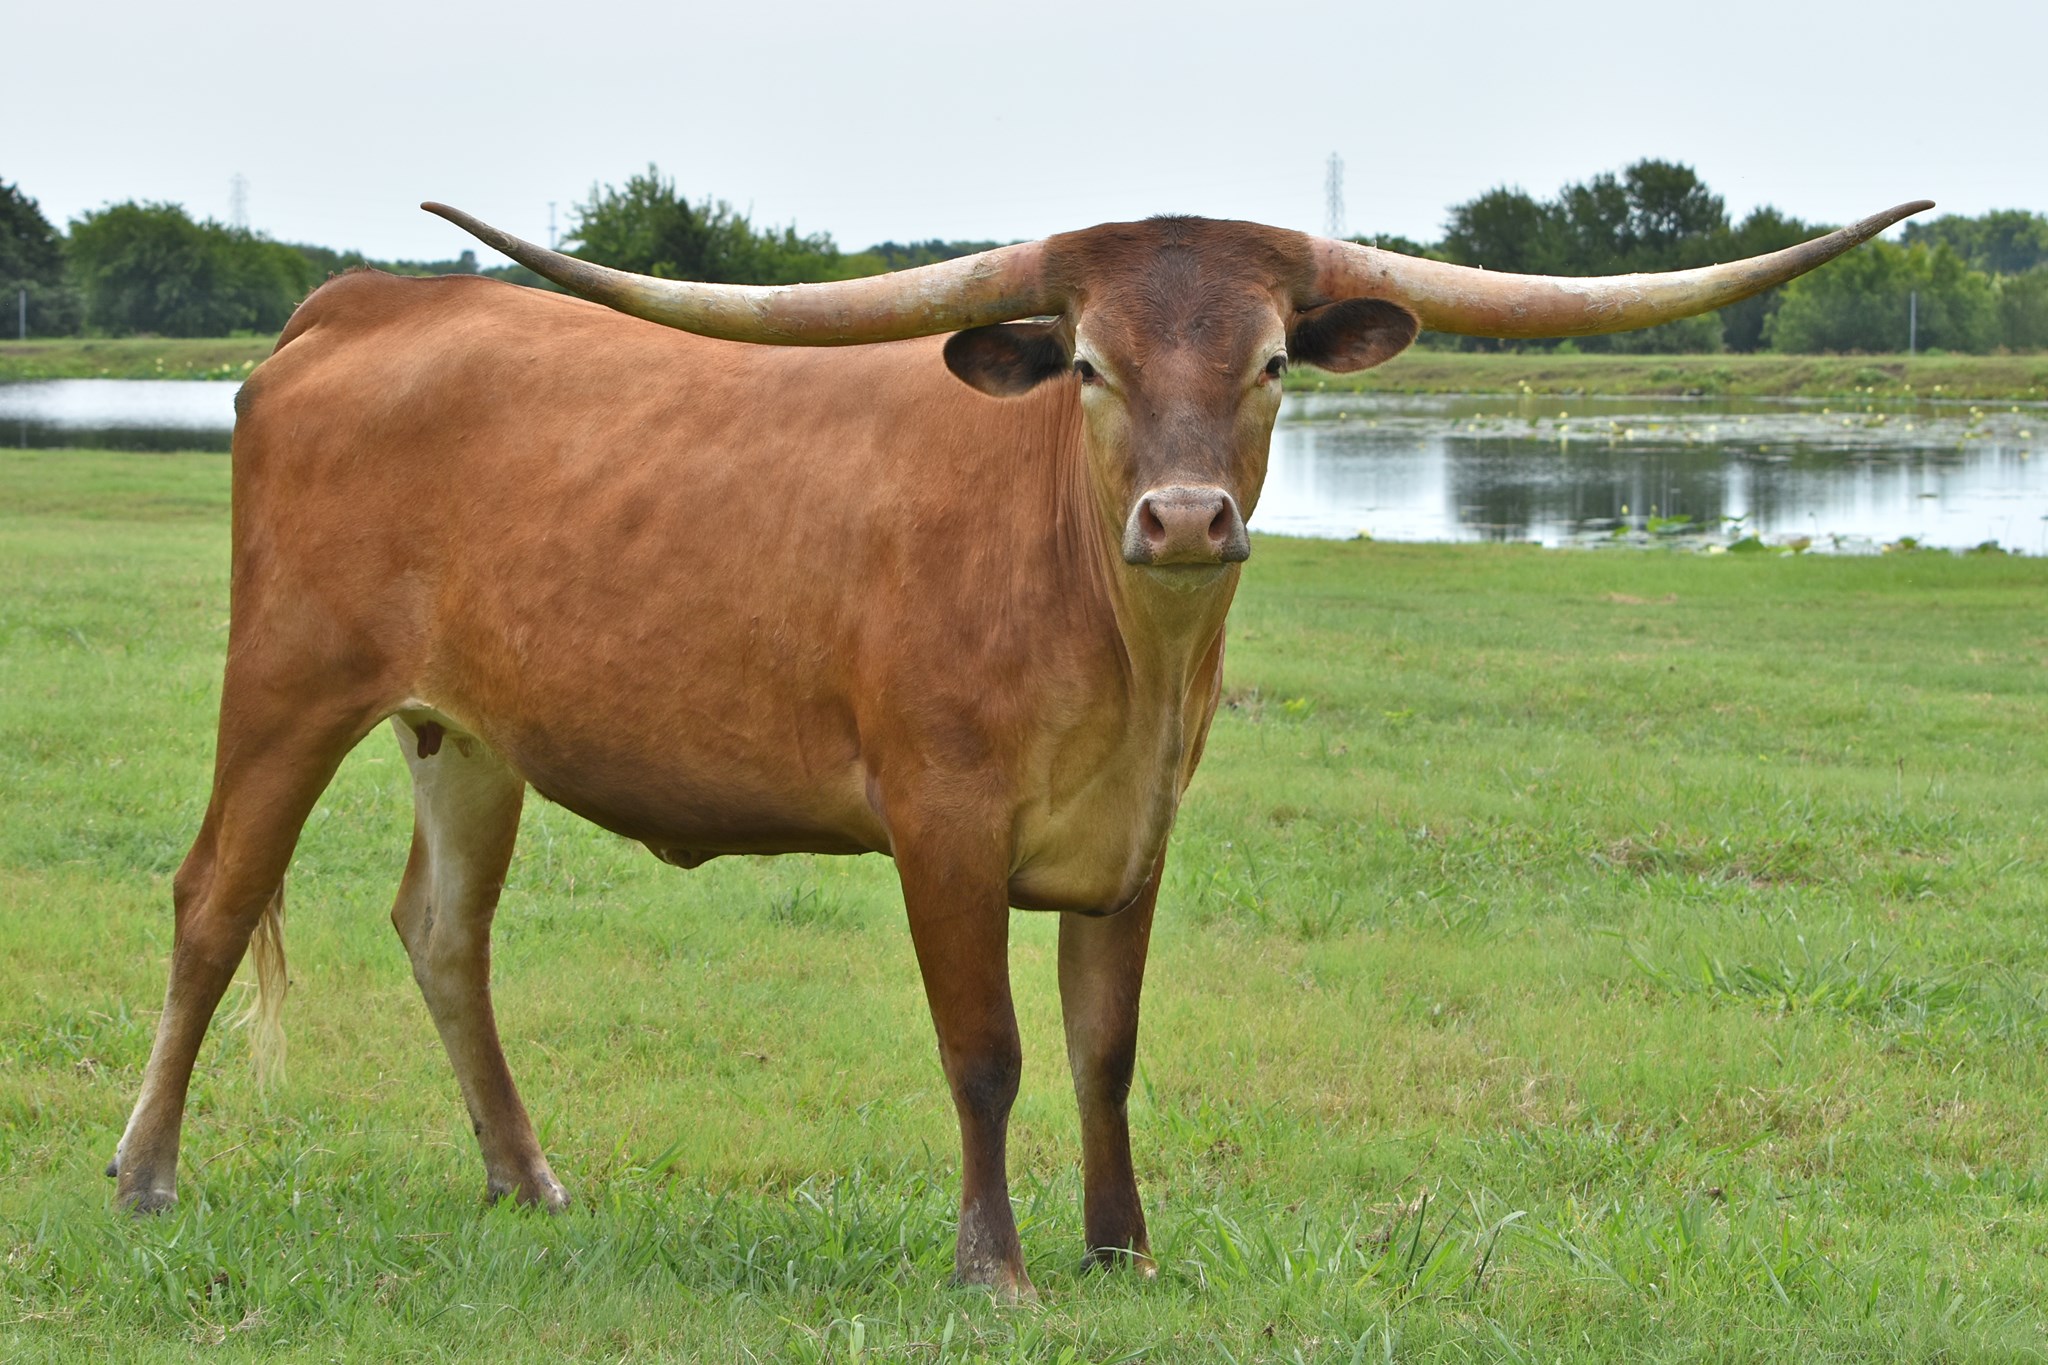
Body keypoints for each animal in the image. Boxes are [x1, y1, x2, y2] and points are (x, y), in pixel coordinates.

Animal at [108, 196, 1929, 1296]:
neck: (1119, 643)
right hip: (286, 683)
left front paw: (1122, 1246)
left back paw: (525, 1179)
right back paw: (144, 1175)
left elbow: (1101, 1046)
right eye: (1092, 365)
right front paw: (994, 1263)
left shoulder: (1134, 836)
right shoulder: (942, 819)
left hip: (462, 732)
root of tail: (358, 308)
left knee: (442, 931)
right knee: (211, 903)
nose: (1184, 519)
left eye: (1272, 361)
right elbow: (983, 1049)